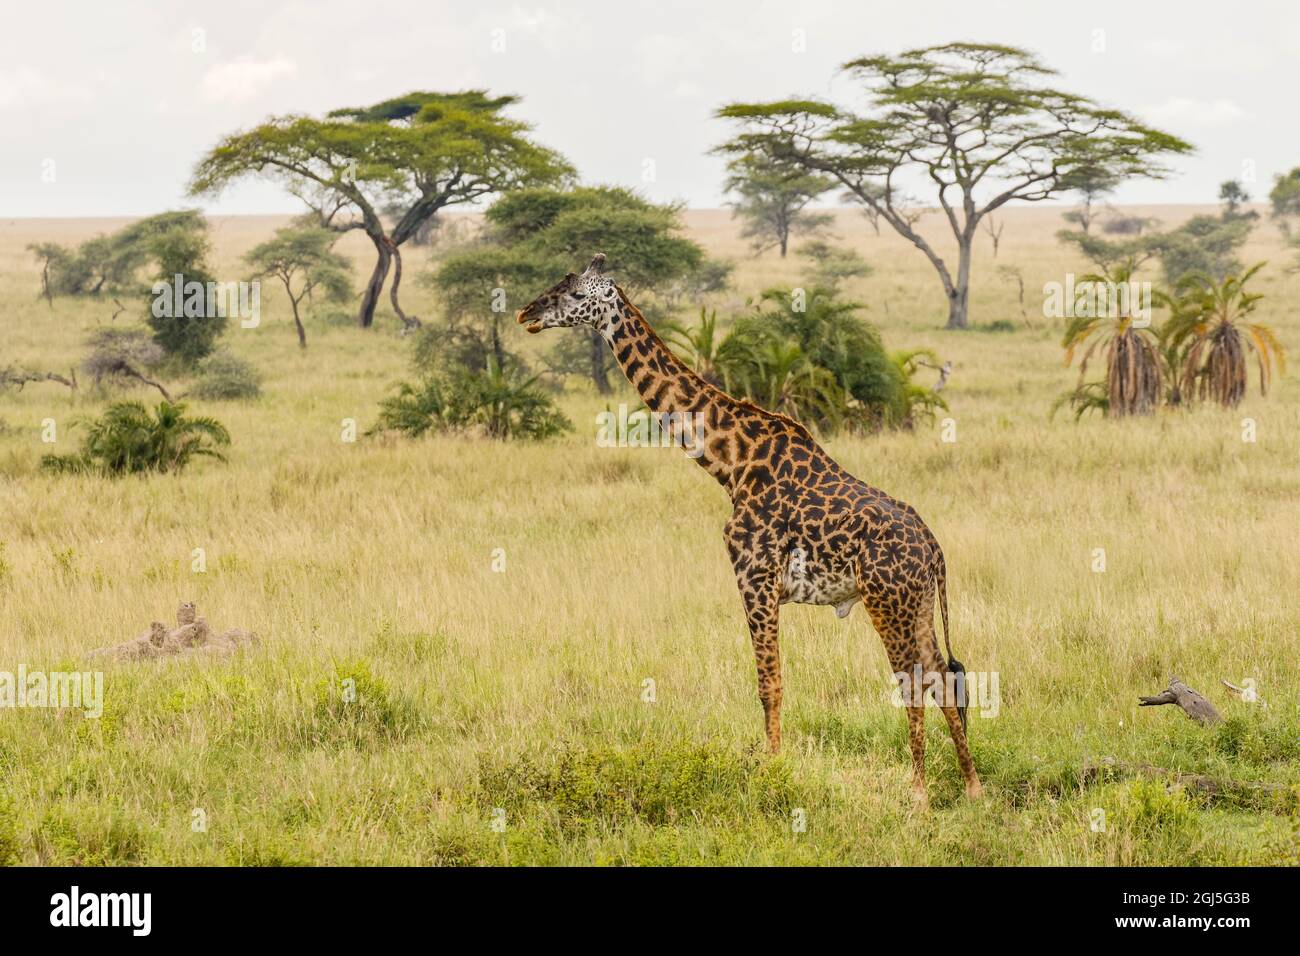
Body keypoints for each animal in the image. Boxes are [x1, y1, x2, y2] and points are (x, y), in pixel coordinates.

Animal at [518, 254, 982, 803]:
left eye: (573, 293)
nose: (526, 312)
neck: (730, 462)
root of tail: (934, 549)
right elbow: (774, 681)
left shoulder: (754, 578)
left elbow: (769, 683)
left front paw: (773, 770)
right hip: (918, 605)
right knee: (943, 678)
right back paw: (972, 786)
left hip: (886, 602)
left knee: (913, 681)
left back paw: (918, 793)